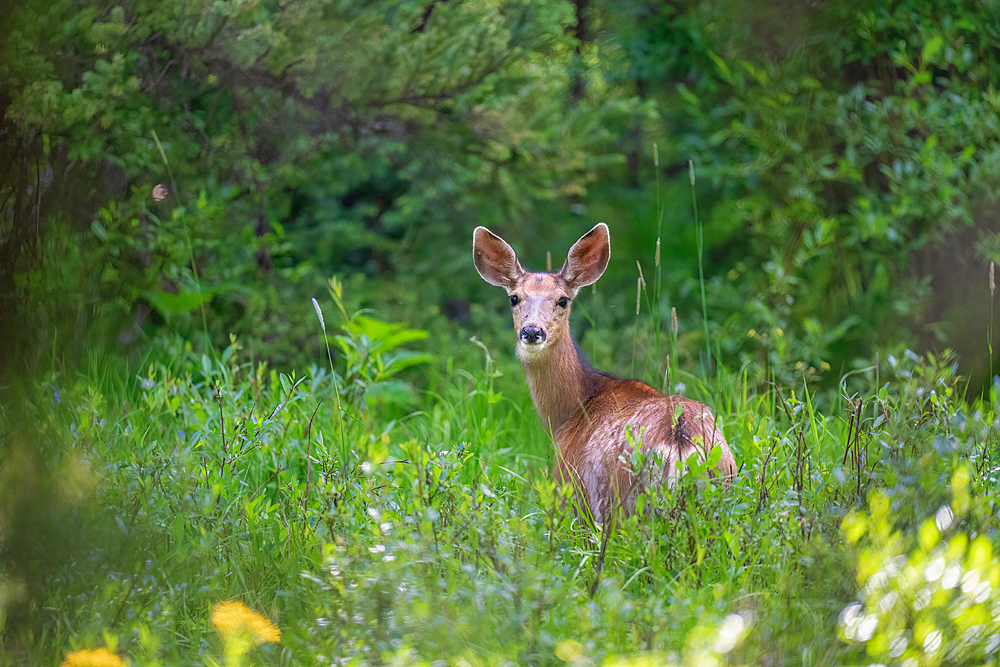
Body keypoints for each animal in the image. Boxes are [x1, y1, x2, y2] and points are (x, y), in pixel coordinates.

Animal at [472, 222, 740, 524]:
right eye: (514, 298)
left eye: (563, 300)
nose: (531, 331)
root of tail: (682, 446)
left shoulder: (570, 494)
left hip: (623, 507)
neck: (570, 412)